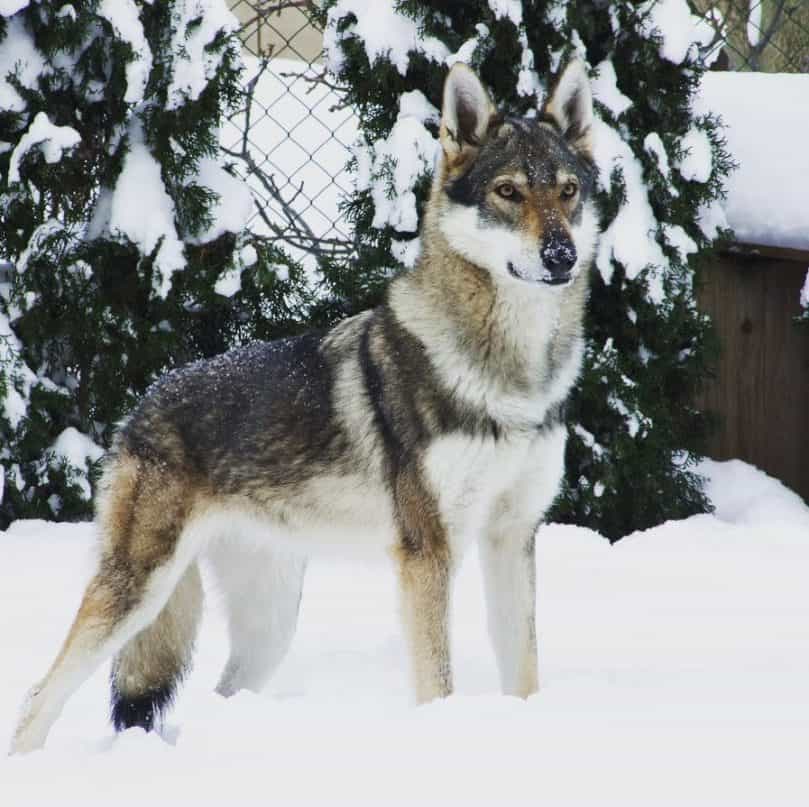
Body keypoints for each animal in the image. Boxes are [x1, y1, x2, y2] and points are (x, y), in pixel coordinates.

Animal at [9, 60, 596, 756]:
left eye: (567, 192)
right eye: (508, 192)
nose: (562, 256)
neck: (513, 373)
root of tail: (141, 406)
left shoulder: (512, 535)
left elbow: (524, 671)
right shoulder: (428, 552)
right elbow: (438, 681)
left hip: (269, 623)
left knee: (218, 690)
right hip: (139, 591)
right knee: (38, 697)